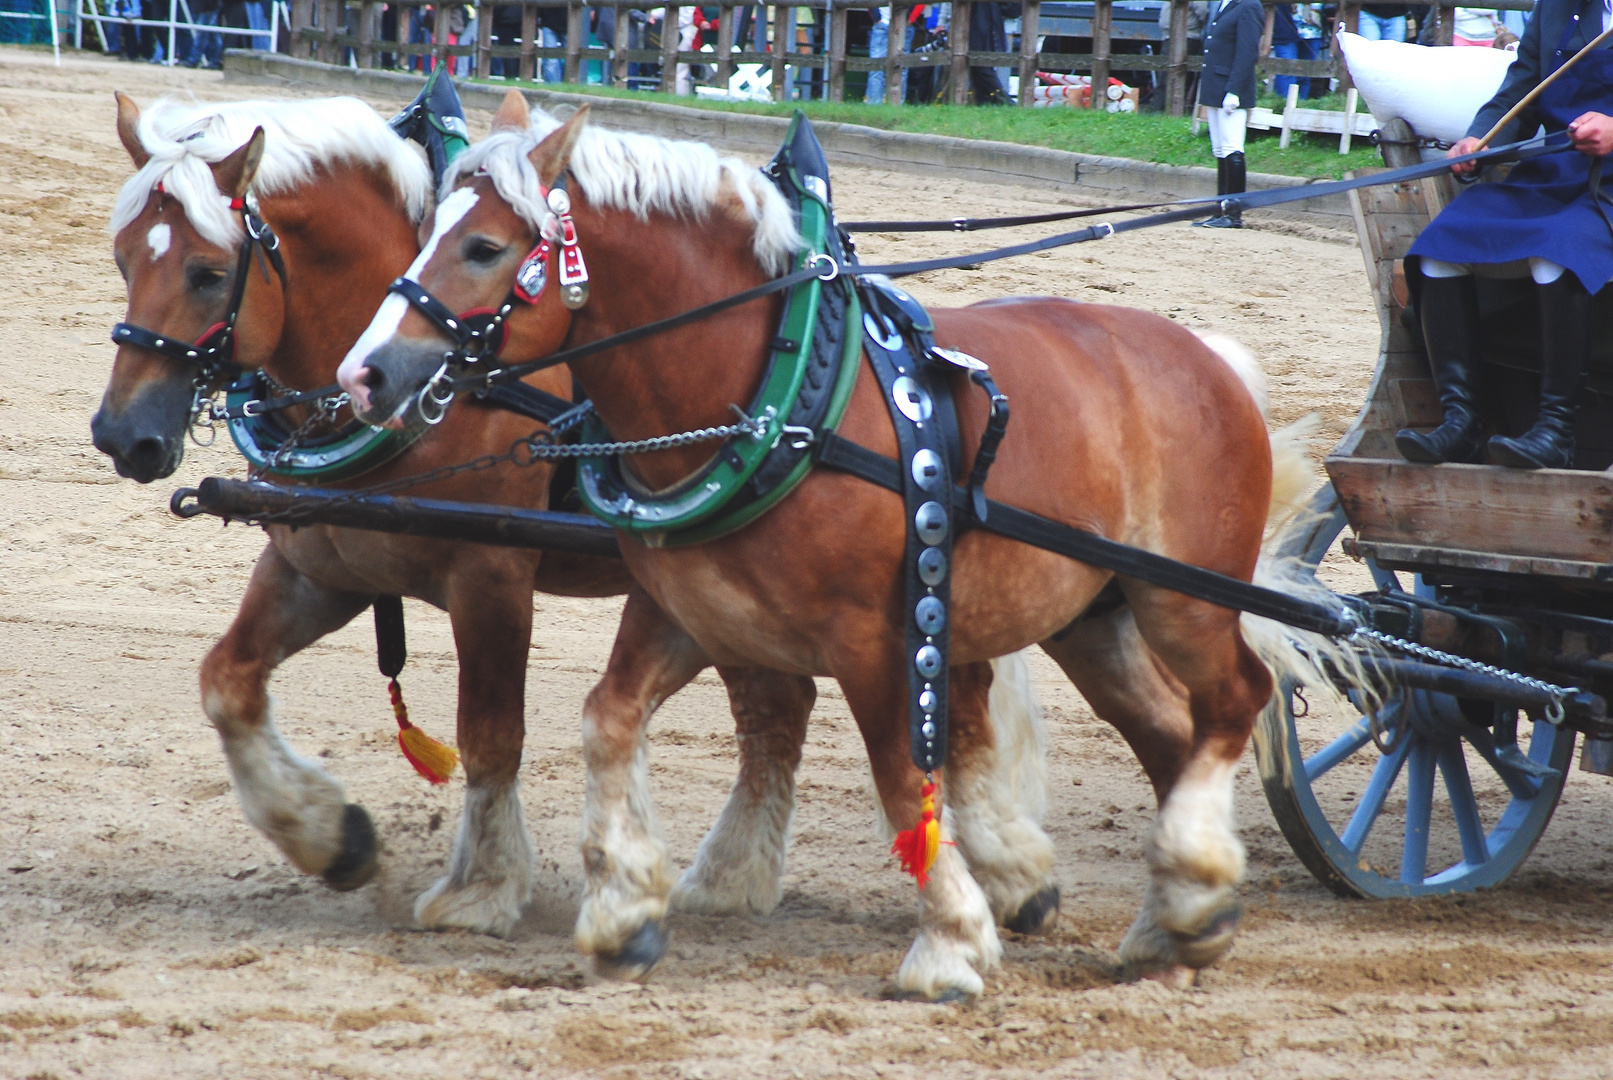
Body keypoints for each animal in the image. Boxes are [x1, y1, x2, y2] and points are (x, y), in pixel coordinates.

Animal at [94, 93, 858, 947]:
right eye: (124, 259)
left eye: (208, 272)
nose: (122, 435)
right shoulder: (316, 567)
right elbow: (228, 684)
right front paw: (332, 837)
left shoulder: (490, 577)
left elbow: (491, 735)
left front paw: (481, 889)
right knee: (777, 707)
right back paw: (733, 877)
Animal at [337, 97, 1322, 1005]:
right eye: (428, 232)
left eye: (483, 248)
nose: (363, 373)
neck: (771, 398)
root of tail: (1206, 357)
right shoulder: (685, 612)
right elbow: (606, 721)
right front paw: (622, 915)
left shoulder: (880, 640)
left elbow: (901, 778)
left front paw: (950, 943)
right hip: (1094, 617)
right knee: (1169, 735)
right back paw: (1178, 920)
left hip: (1184, 600)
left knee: (1235, 699)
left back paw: (1190, 886)